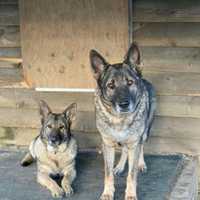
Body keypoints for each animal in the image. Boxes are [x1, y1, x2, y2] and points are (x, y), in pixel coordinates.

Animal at [90, 43, 157, 200]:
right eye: (111, 85)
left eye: (130, 82)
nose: (124, 104)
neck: (120, 119)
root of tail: (144, 79)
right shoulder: (107, 144)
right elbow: (108, 174)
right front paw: (108, 192)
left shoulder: (135, 142)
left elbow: (131, 175)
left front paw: (131, 194)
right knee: (125, 150)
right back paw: (120, 166)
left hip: (145, 132)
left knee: (141, 146)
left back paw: (141, 163)